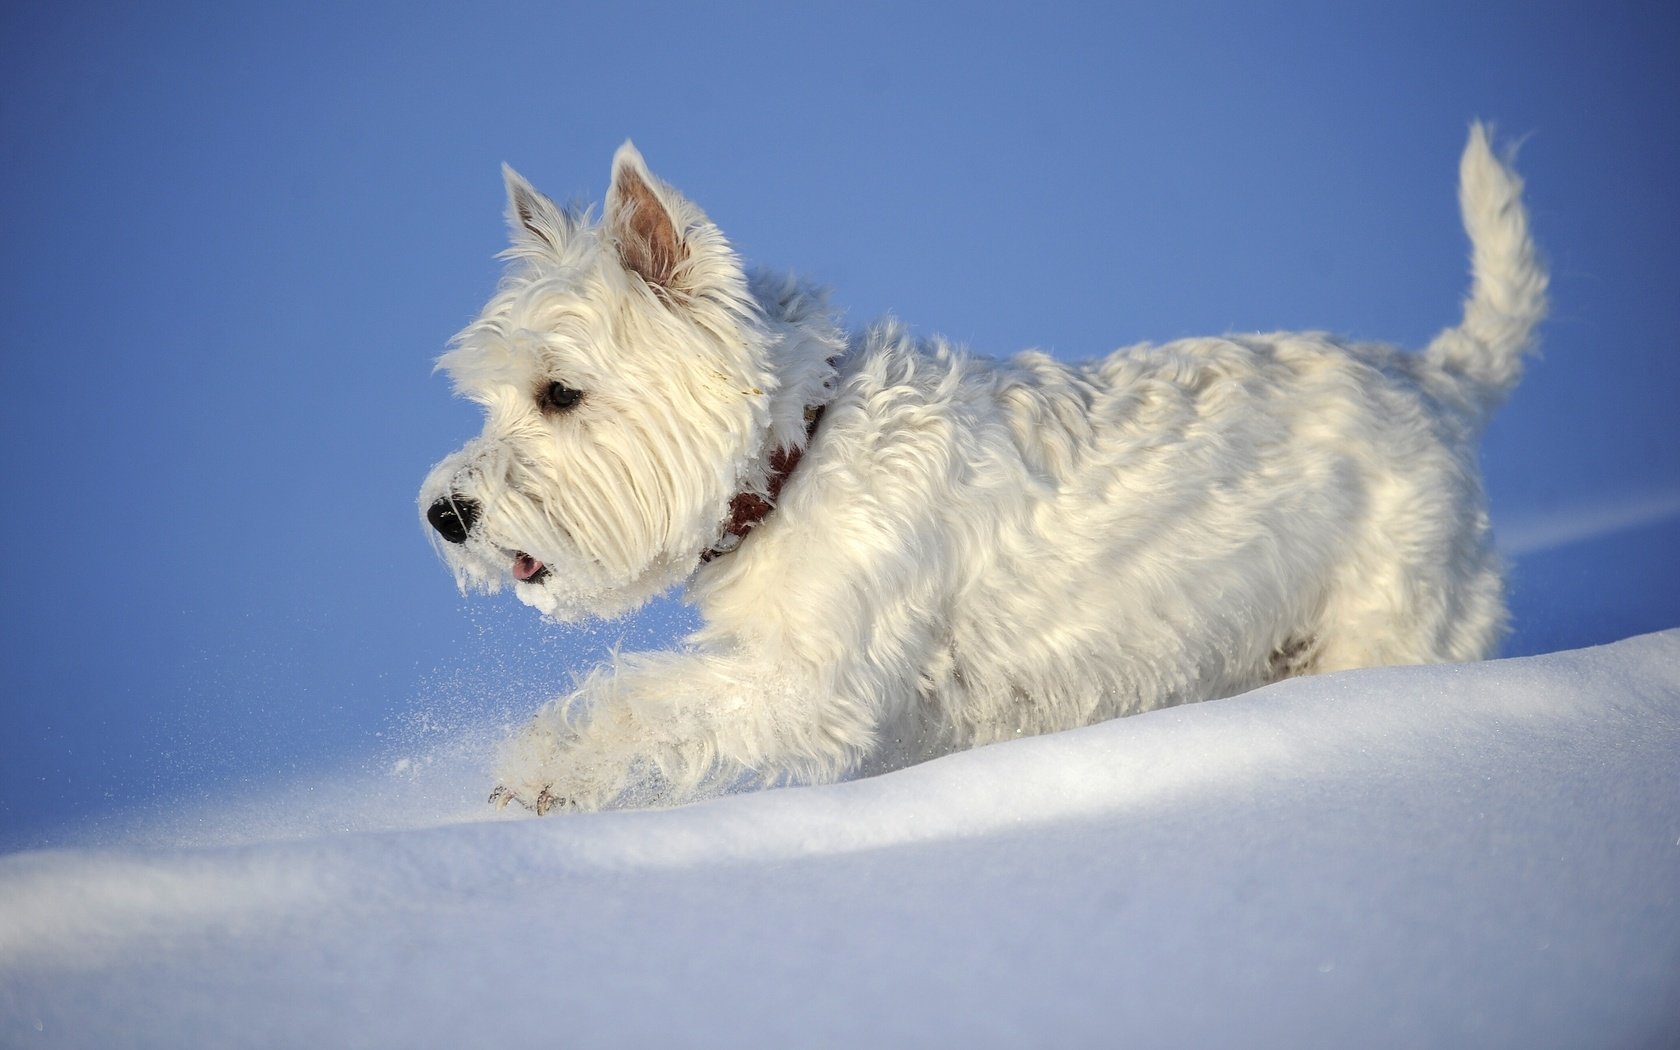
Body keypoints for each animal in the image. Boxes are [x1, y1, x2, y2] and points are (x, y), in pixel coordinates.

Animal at [423, 125, 1545, 809]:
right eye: (489, 399)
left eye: (558, 393)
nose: (444, 513)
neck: (797, 457)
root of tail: (1440, 380)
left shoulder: (812, 680)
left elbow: (647, 697)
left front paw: (541, 770)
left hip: (1394, 617)